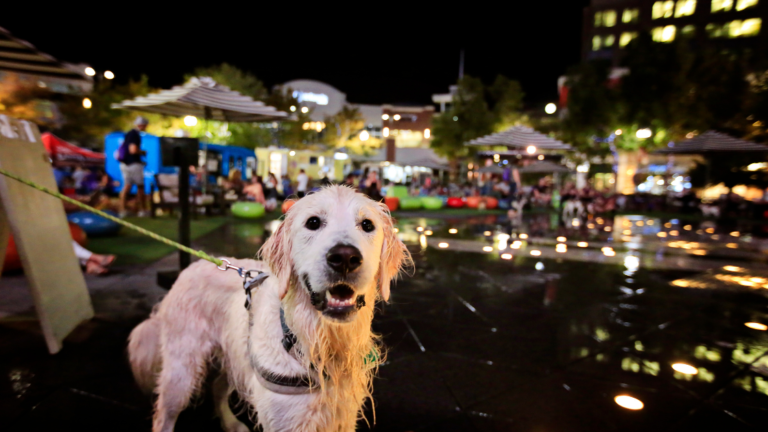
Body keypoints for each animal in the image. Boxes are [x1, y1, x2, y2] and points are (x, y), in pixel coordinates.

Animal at [129, 186, 412, 432]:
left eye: (367, 225)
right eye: (313, 222)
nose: (344, 257)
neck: (315, 342)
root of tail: (190, 267)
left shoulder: (343, 415)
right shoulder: (285, 419)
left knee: (218, 387)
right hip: (181, 372)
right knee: (165, 414)